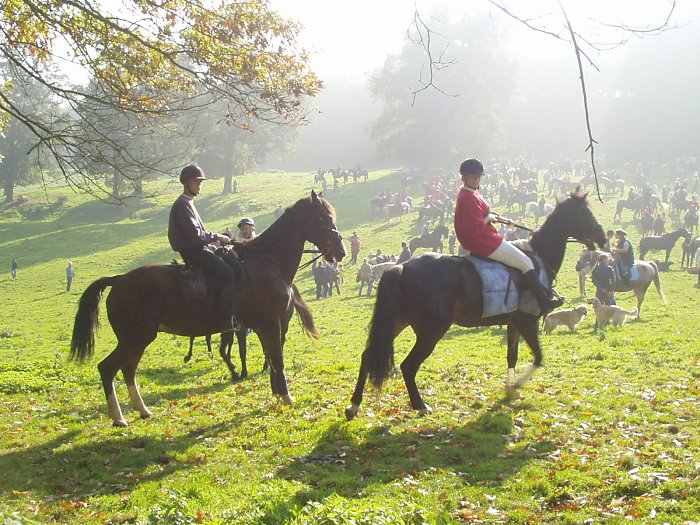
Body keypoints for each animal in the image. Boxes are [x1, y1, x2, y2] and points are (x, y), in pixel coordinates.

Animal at [71, 191, 344, 426]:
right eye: (323, 218)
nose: (340, 251)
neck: (266, 261)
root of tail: (118, 280)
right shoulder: (270, 323)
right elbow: (276, 358)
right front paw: (285, 396)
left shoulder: (263, 326)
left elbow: (271, 356)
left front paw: (277, 392)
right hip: (134, 338)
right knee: (108, 368)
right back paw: (118, 417)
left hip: (139, 339)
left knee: (128, 370)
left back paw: (142, 409)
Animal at [344, 188, 608, 418]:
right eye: (585, 213)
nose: (603, 238)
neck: (538, 258)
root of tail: (402, 268)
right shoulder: (528, 321)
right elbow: (538, 358)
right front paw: (517, 386)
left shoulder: (514, 323)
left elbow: (512, 357)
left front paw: (509, 389)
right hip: (431, 330)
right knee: (408, 366)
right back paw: (420, 405)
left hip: (398, 321)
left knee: (368, 356)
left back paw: (354, 405)